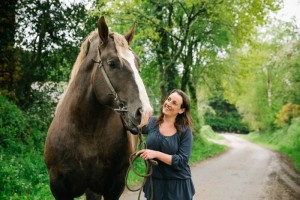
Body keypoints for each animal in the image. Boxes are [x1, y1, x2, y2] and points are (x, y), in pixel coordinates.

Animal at [44, 16, 152, 200]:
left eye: (137, 63)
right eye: (112, 63)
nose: (144, 112)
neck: (86, 130)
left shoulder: (114, 185)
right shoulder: (58, 185)